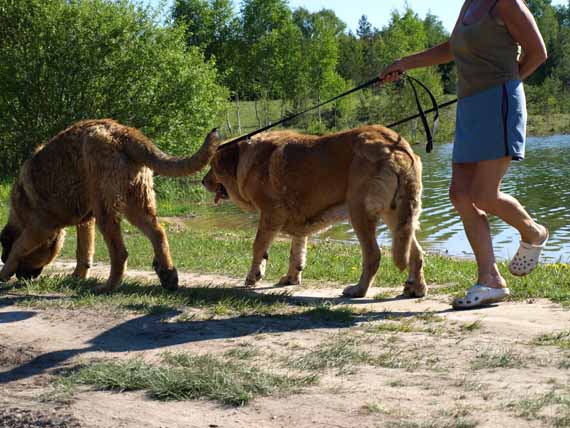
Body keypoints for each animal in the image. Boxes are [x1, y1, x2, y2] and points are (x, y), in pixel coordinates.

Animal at [0, 120, 217, 294]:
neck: (20, 215)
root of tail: (123, 133)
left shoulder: (39, 227)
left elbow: (18, 248)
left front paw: (4, 272)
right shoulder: (85, 221)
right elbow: (83, 250)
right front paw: (78, 276)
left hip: (107, 209)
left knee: (120, 253)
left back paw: (108, 286)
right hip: (136, 202)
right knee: (158, 233)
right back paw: (168, 275)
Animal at [202, 124, 424, 298]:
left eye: (213, 166)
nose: (203, 181)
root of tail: (397, 148)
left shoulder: (270, 214)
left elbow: (258, 247)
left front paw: (253, 276)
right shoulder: (298, 220)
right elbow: (296, 252)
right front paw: (291, 278)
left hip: (360, 212)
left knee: (373, 255)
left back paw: (358, 290)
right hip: (398, 216)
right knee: (416, 252)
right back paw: (416, 288)